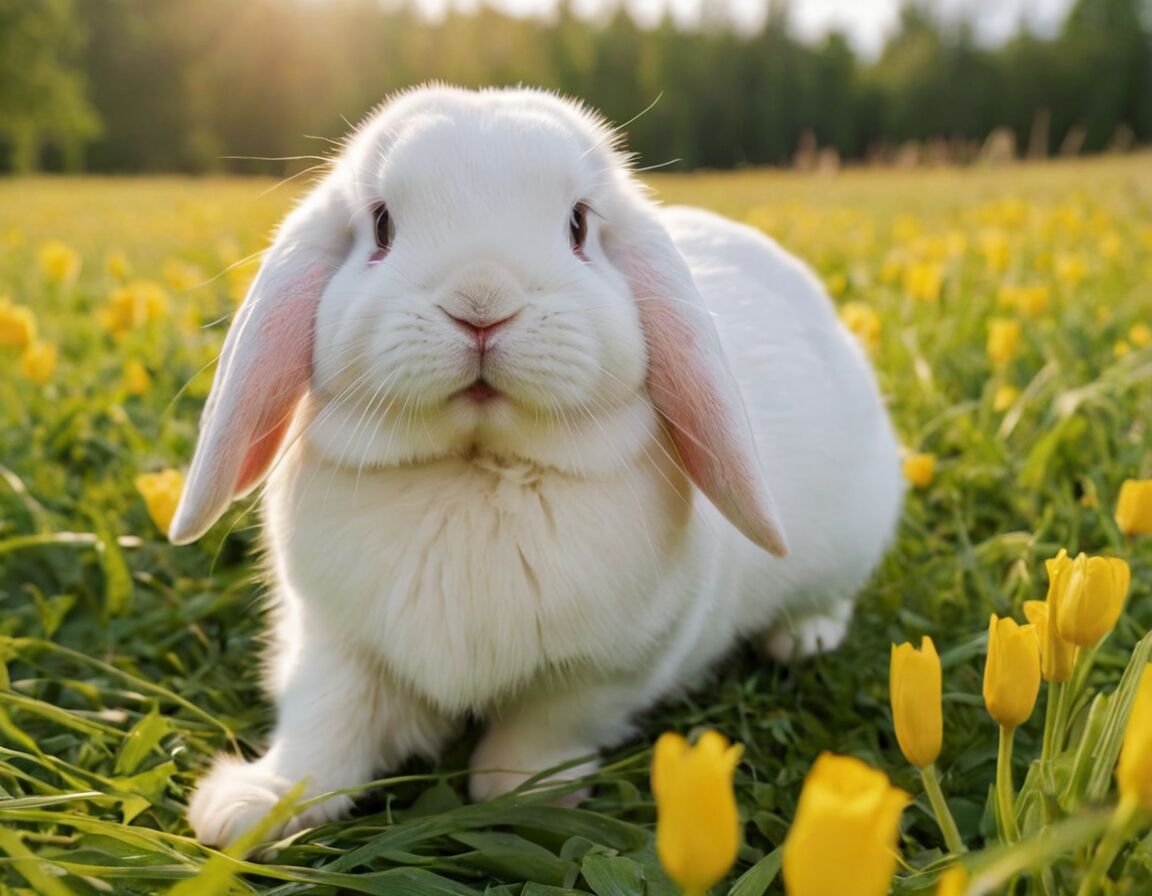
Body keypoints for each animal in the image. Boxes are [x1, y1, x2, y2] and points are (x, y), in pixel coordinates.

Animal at [169, 85, 904, 847]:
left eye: (579, 225)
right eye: (381, 225)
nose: (481, 305)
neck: (475, 473)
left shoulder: (607, 669)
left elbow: (547, 728)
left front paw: (518, 792)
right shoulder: (332, 642)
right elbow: (326, 725)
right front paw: (248, 808)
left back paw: (803, 636)